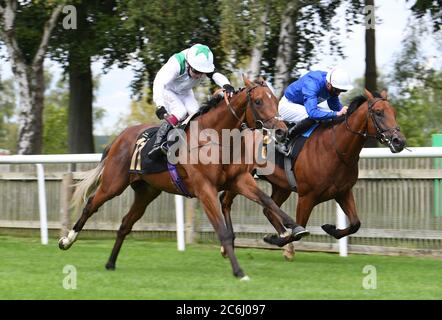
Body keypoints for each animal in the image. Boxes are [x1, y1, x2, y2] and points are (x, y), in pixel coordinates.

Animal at [57, 77, 308, 280]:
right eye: (257, 101)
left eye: (274, 100)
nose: (282, 131)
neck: (214, 138)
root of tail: (119, 138)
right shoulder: (205, 189)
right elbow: (223, 232)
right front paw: (239, 272)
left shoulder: (239, 180)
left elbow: (267, 201)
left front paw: (293, 229)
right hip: (113, 184)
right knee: (91, 204)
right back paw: (67, 240)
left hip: (146, 192)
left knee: (125, 224)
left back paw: (110, 263)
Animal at [219, 89, 406, 258]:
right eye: (378, 112)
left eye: (394, 112)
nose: (399, 141)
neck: (335, 149)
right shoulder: (306, 196)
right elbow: (299, 228)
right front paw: (275, 240)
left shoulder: (343, 192)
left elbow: (355, 224)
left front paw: (330, 228)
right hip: (240, 179)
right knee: (226, 202)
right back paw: (228, 246)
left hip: (281, 187)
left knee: (268, 209)